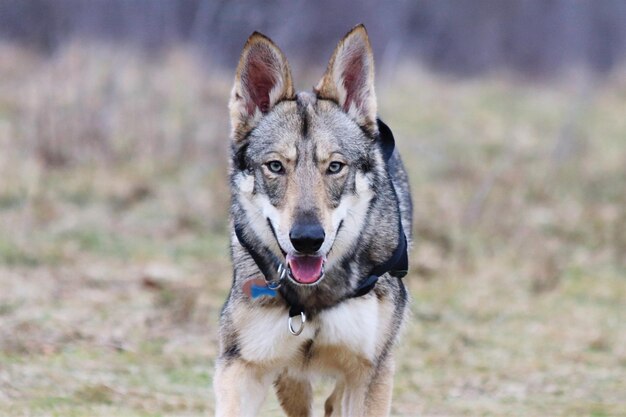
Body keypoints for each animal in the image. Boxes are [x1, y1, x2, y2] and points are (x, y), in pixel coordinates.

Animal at [212, 24, 412, 414]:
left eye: (334, 167)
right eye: (276, 166)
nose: (307, 239)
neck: (312, 301)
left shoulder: (371, 372)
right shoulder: (241, 365)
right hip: (290, 378)